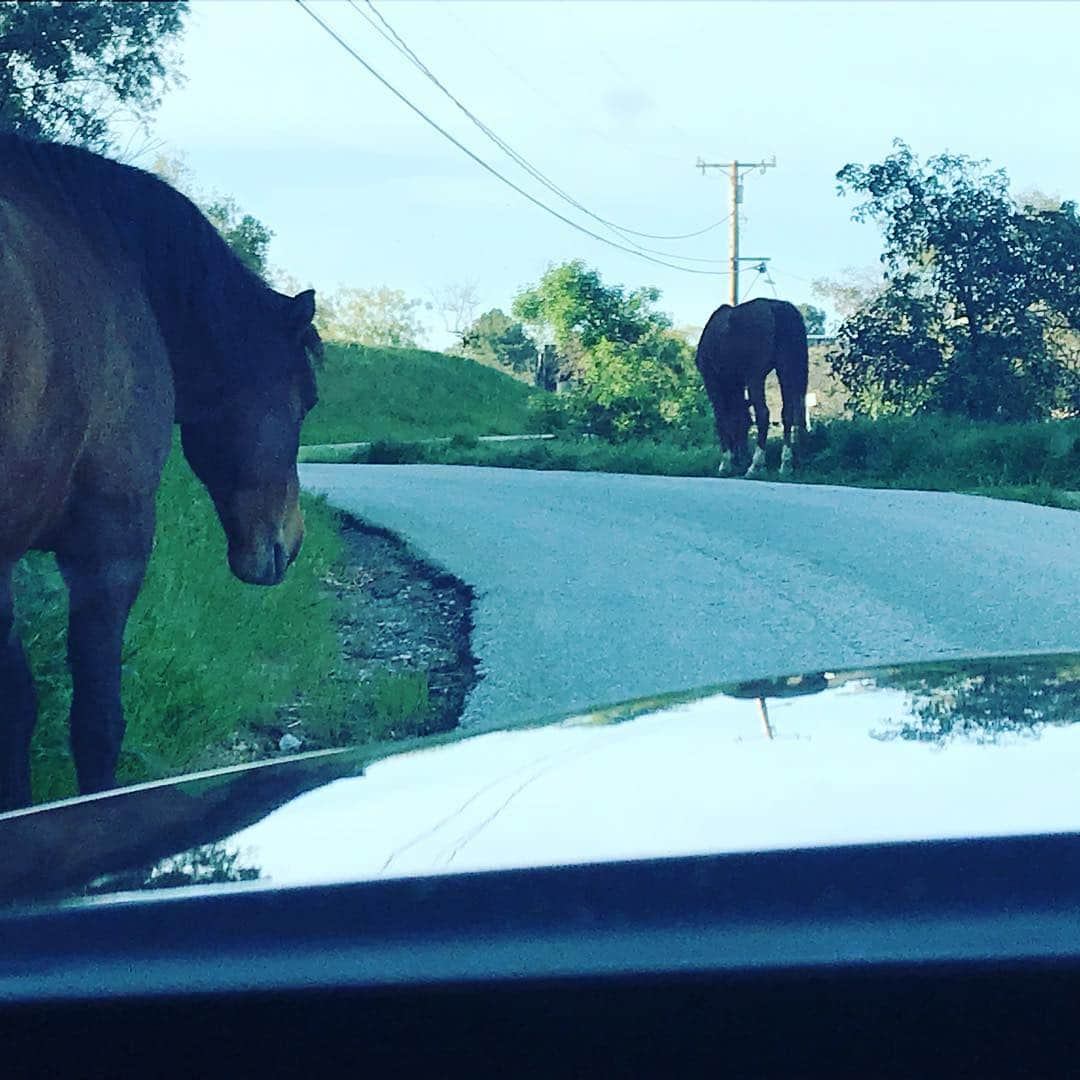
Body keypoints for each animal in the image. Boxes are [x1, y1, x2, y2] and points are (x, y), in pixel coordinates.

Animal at [695, 298, 807, 479]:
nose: (740, 457)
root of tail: (775, 308)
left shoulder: (713, 381)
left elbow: (722, 418)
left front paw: (725, 463)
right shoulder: (737, 383)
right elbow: (738, 416)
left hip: (756, 376)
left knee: (763, 414)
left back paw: (755, 465)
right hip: (785, 369)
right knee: (788, 414)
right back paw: (785, 465)